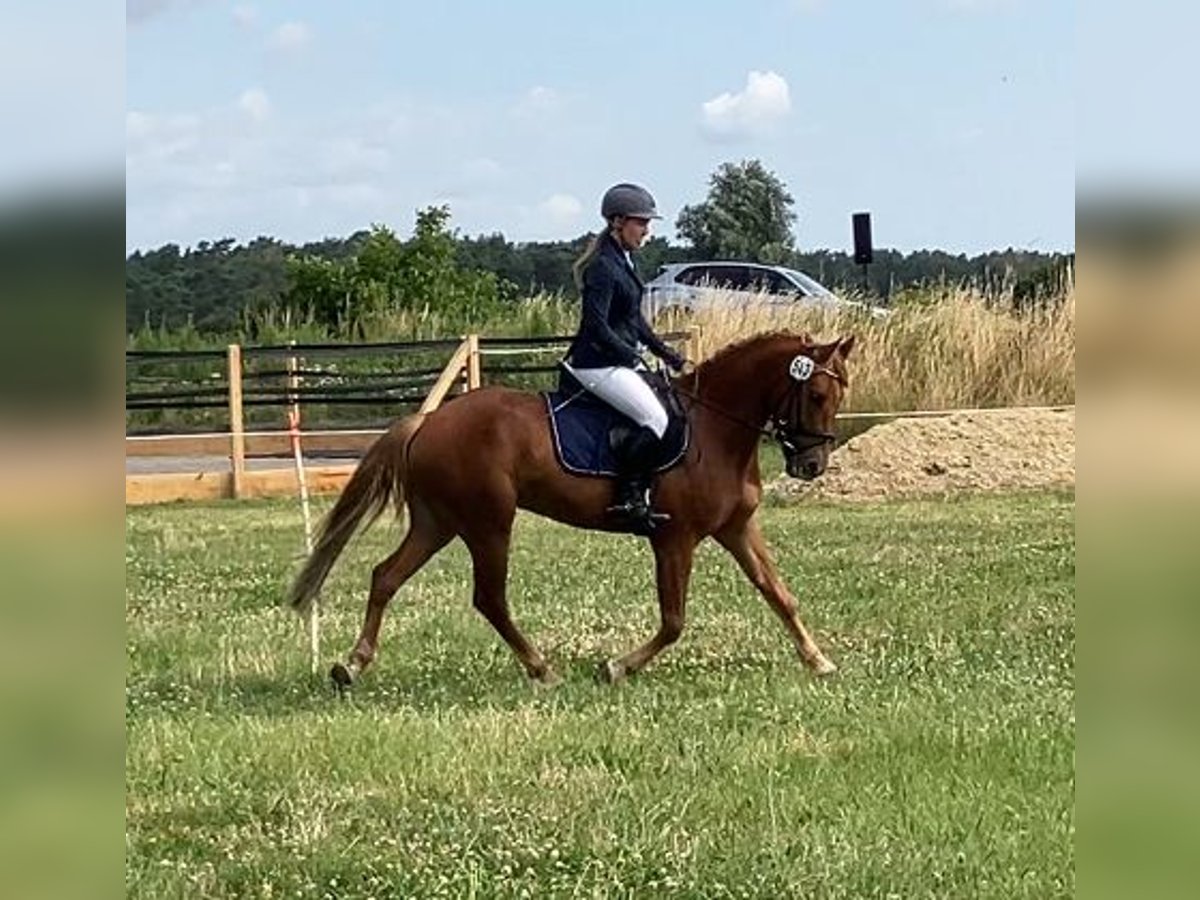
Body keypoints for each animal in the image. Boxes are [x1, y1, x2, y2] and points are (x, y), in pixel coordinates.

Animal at [286, 333, 859, 691]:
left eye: (837, 394)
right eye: (817, 393)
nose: (812, 465)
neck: (716, 430)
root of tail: (427, 422)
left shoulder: (737, 528)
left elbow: (779, 594)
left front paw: (819, 660)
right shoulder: (674, 539)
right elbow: (674, 621)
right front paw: (617, 667)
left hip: (439, 522)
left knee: (386, 576)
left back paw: (352, 665)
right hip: (488, 523)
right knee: (489, 598)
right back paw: (542, 669)